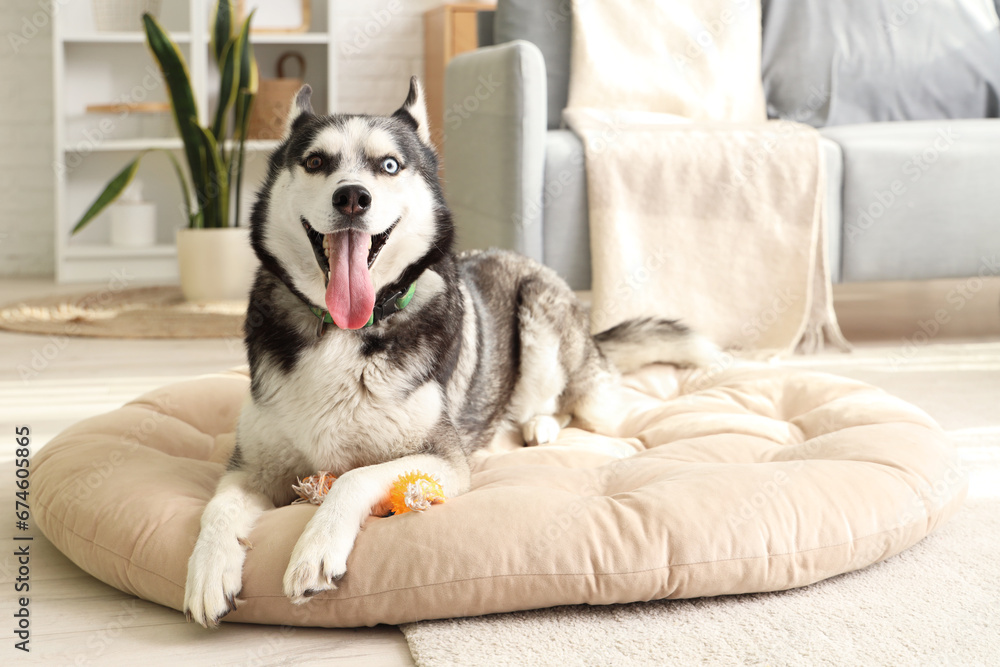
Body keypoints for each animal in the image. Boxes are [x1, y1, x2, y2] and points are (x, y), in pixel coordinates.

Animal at [180, 77, 712, 628]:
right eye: (314, 161)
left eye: (390, 165)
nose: (352, 197)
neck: (346, 330)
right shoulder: (251, 466)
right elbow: (216, 508)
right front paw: (208, 569)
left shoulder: (444, 462)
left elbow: (356, 477)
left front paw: (316, 548)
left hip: (540, 314)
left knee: (566, 403)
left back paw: (538, 424)